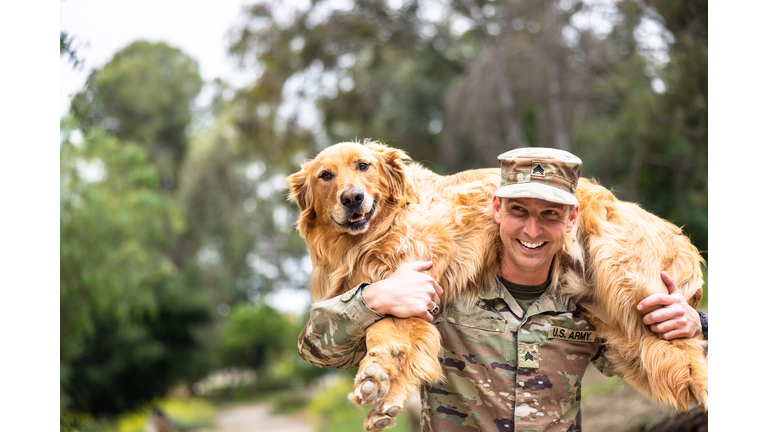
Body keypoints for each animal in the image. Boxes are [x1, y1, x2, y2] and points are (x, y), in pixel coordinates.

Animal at [286, 141, 708, 428]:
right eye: (325, 175)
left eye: (364, 166)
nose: (353, 198)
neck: (369, 238)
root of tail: (680, 237)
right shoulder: (395, 290)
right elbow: (379, 328)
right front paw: (382, 382)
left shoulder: (417, 276)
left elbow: (389, 331)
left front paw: (379, 378)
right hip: (627, 337)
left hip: (634, 293)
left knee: (694, 359)